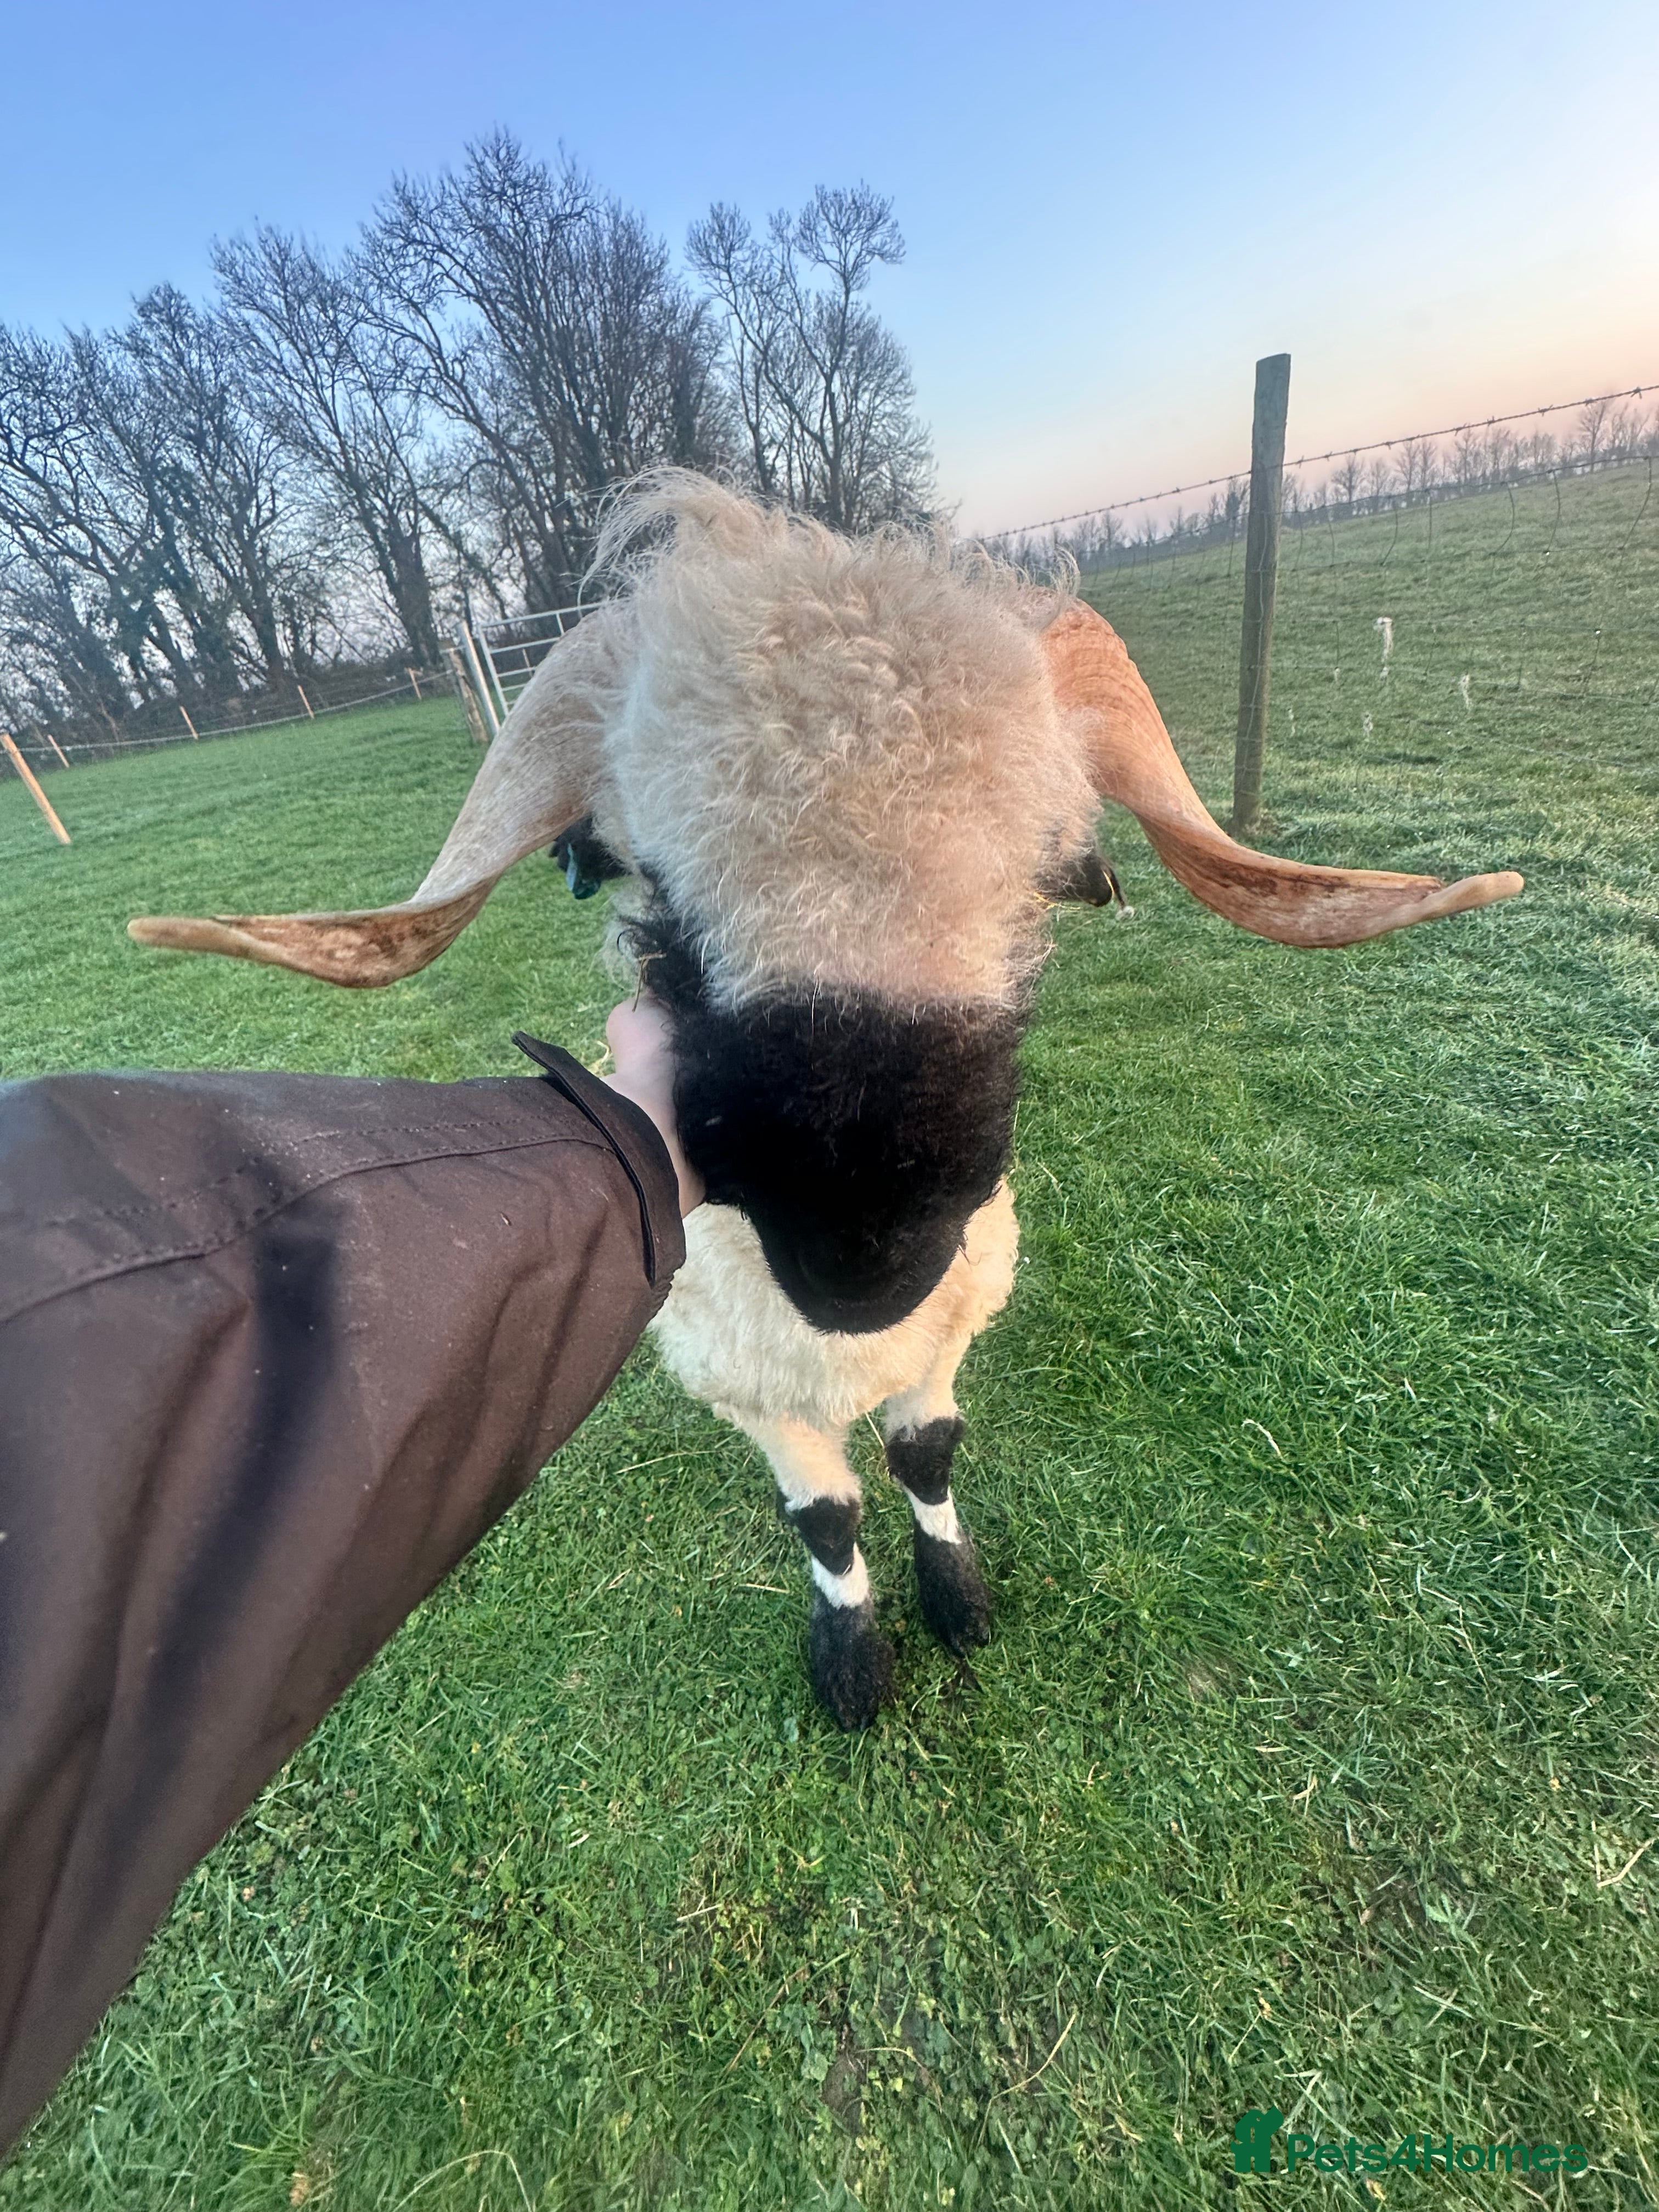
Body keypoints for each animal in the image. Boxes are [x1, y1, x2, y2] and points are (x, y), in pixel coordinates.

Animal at [131, 472, 1522, 1728]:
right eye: (651, 894)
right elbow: (826, 1512)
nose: (865, 1246)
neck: (840, 1345)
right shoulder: (735, 1377)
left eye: (1036, 887)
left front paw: (958, 1601)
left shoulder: (950, 1321)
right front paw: (853, 1665)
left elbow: (923, 1457)